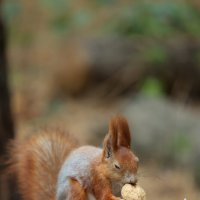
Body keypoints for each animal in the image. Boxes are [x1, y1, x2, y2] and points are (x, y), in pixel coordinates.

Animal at [7, 115, 139, 200]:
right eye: (117, 166)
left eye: (137, 161)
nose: (133, 181)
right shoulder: (97, 178)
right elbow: (104, 197)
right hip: (72, 188)